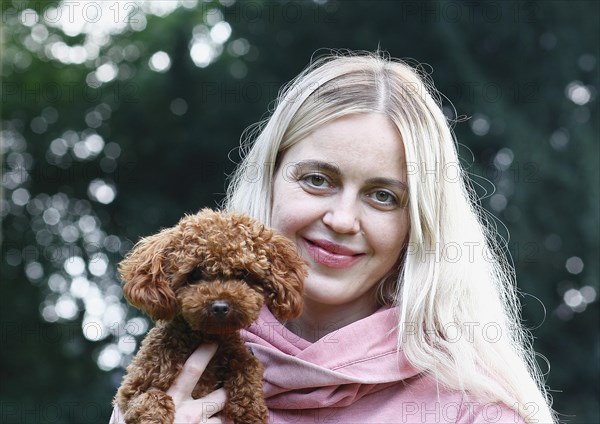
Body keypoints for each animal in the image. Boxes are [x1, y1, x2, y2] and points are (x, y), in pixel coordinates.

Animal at [112, 210, 304, 424]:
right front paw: (155, 416)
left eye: (243, 274)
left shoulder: (233, 349)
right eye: (195, 274)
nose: (220, 307)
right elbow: (152, 397)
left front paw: (250, 408)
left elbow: (248, 363)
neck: (204, 336)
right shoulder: (129, 392)